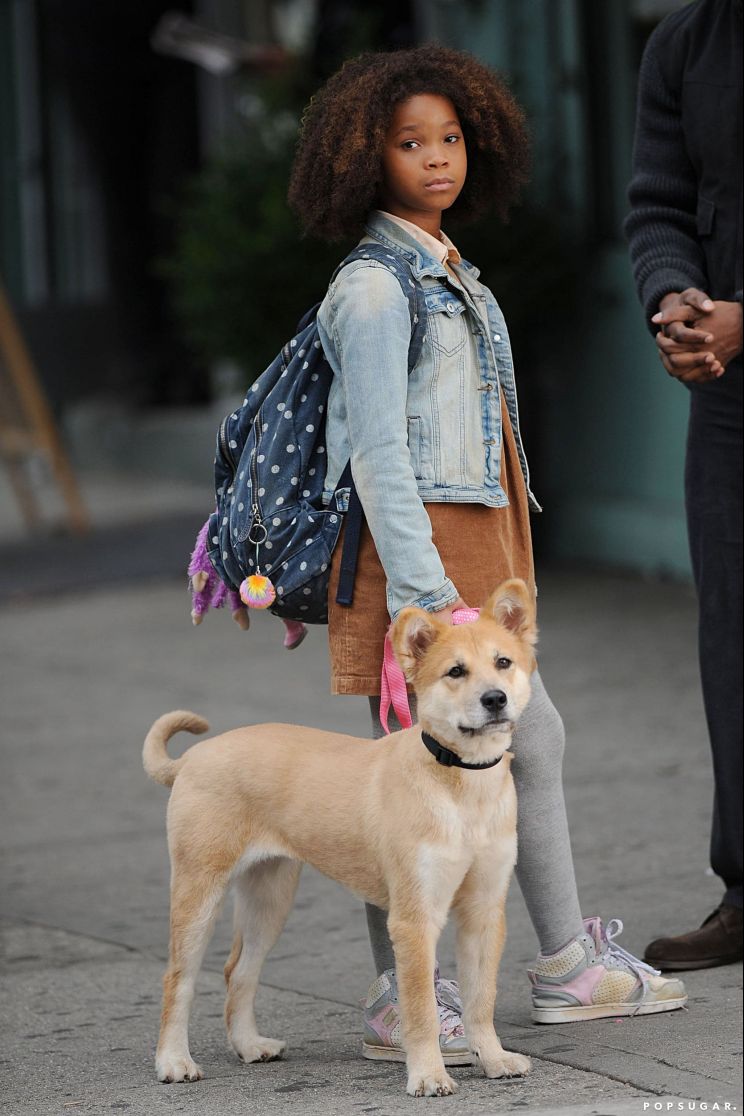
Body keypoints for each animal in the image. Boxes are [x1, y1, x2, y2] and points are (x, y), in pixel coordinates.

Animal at [145, 580, 537, 1093]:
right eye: (455, 671)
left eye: (503, 662)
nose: (494, 699)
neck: (461, 783)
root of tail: (194, 757)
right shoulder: (414, 919)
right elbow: (420, 1009)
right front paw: (428, 1074)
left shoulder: (484, 911)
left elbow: (480, 999)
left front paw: (492, 1058)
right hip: (198, 891)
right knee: (179, 978)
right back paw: (173, 1061)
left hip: (269, 896)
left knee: (239, 971)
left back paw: (249, 1045)